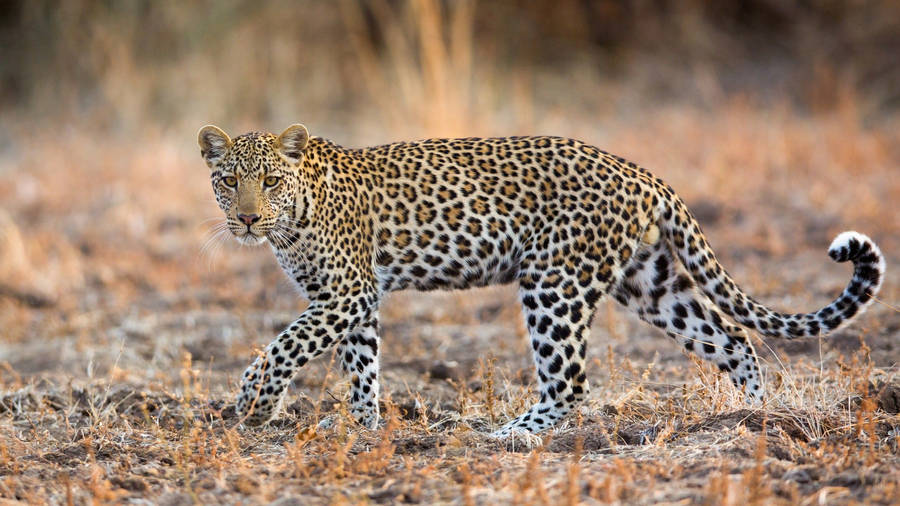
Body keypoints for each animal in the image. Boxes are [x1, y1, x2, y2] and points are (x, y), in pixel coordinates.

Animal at [197, 123, 885, 437]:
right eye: (229, 181)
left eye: (270, 182)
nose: (248, 219)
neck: (294, 218)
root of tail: (643, 173)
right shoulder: (350, 301)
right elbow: (358, 365)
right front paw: (364, 427)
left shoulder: (346, 293)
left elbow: (284, 346)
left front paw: (253, 403)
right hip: (650, 283)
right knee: (735, 340)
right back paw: (754, 422)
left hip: (554, 284)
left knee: (571, 383)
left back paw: (506, 436)